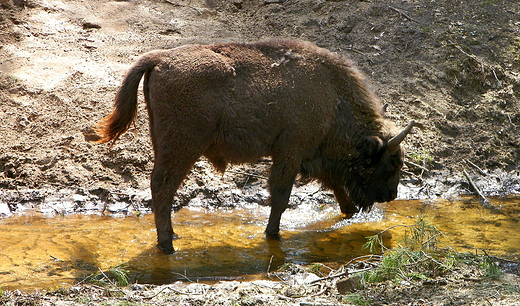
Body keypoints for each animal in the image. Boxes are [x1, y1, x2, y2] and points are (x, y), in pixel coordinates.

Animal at [95, 37, 416, 253]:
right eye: (389, 164)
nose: (391, 195)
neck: (332, 97)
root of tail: (160, 58)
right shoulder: (289, 153)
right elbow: (281, 196)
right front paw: (273, 234)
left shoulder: (312, 157)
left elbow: (336, 188)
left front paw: (348, 215)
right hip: (182, 147)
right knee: (162, 187)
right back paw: (167, 245)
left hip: (166, 144)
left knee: (162, 188)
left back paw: (171, 238)